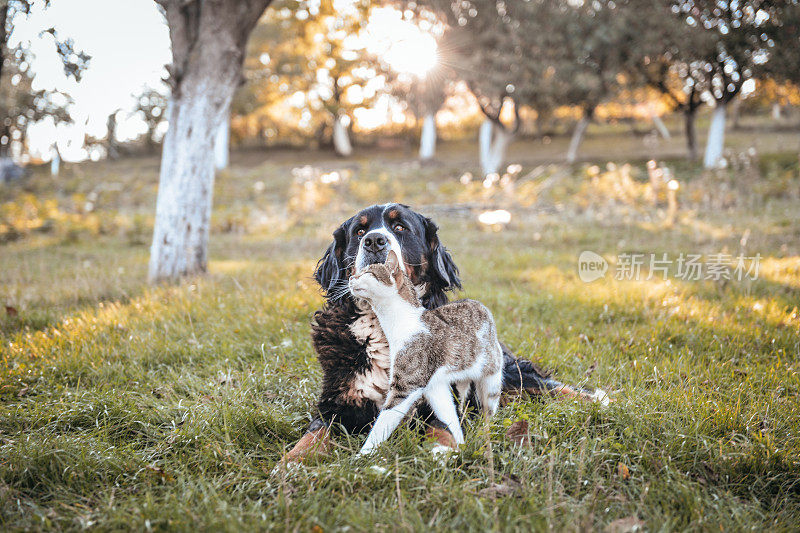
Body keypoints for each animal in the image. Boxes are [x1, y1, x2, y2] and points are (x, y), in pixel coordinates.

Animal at [348, 249, 504, 454]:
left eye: (366, 273)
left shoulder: (406, 386)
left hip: (491, 381)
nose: (350, 278)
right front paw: (459, 447)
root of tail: (482, 306)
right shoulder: (434, 387)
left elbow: (384, 421)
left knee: (489, 413)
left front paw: (363, 455)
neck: (401, 320)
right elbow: (449, 417)